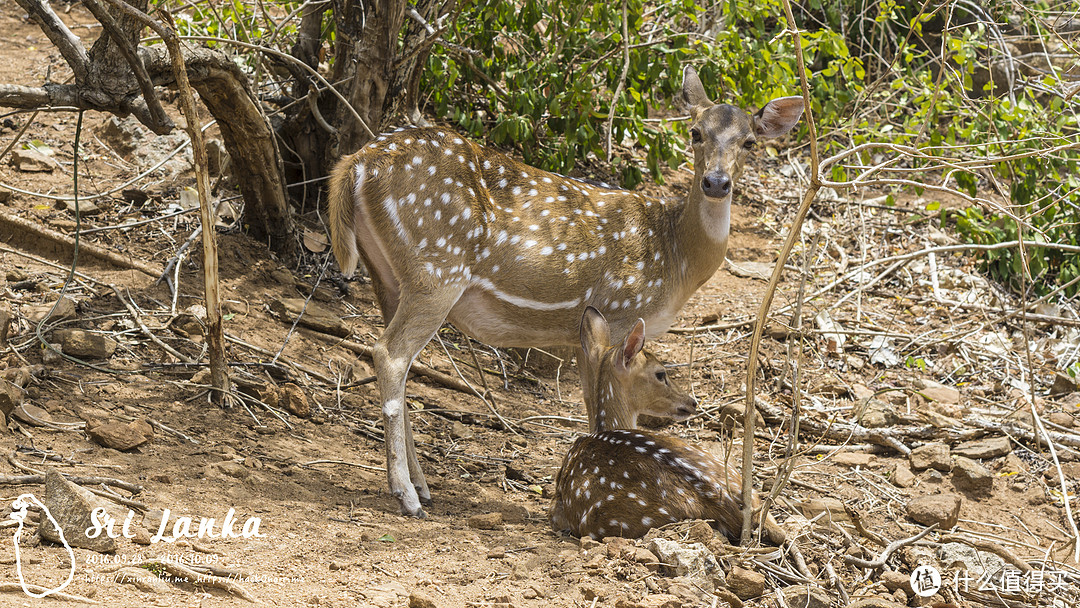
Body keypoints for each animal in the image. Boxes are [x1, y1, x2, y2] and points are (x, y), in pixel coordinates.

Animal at [328, 66, 803, 516]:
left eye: (749, 142)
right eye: (695, 132)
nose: (716, 183)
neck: (676, 260)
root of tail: (356, 164)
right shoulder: (619, 310)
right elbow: (598, 403)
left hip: (387, 274)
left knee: (397, 359)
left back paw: (423, 486)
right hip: (437, 269)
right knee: (391, 354)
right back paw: (406, 494)